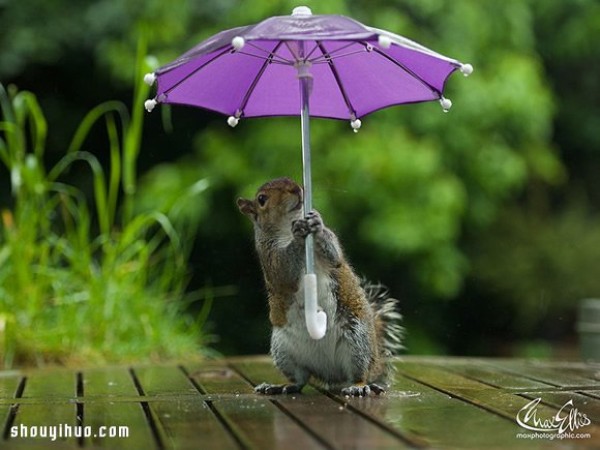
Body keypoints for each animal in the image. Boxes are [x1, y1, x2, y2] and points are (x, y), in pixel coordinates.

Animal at [237, 178, 400, 396]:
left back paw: (360, 386)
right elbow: (284, 273)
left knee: (360, 374)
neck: (286, 227)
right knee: (300, 379)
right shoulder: (270, 258)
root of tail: (332, 373)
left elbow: (335, 256)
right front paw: (299, 234)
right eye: (262, 199)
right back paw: (282, 386)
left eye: (293, 181)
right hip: (283, 350)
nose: (297, 189)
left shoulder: (330, 249)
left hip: (357, 341)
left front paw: (316, 224)